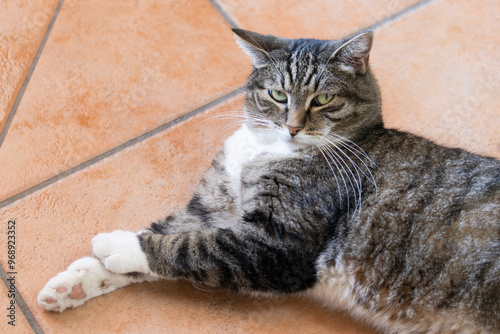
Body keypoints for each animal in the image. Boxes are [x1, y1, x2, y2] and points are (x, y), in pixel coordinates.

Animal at [38, 29, 500, 334]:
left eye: (324, 99)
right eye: (278, 95)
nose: (293, 127)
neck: (264, 148)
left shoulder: (277, 245)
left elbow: (184, 247)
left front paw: (116, 246)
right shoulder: (211, 207)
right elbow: (172, 232)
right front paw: (75, 283)